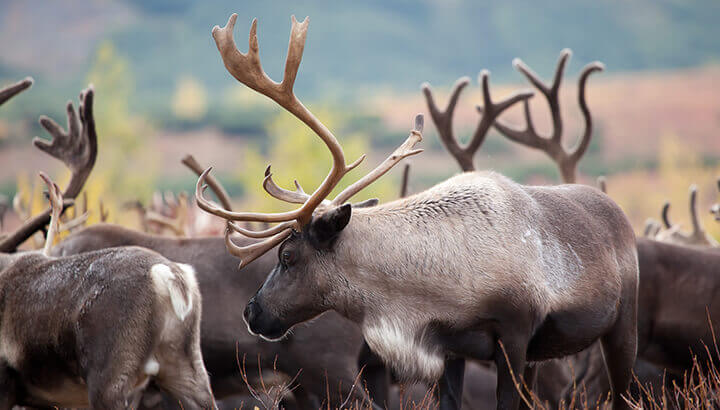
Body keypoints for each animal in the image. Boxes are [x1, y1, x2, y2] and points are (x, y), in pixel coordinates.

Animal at [194, 14, 639, 410]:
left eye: (287, 256)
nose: (251, 311)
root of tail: (619, 212)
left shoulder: (514, 337)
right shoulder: (450, 348)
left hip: (620, 329)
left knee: (623, 393)